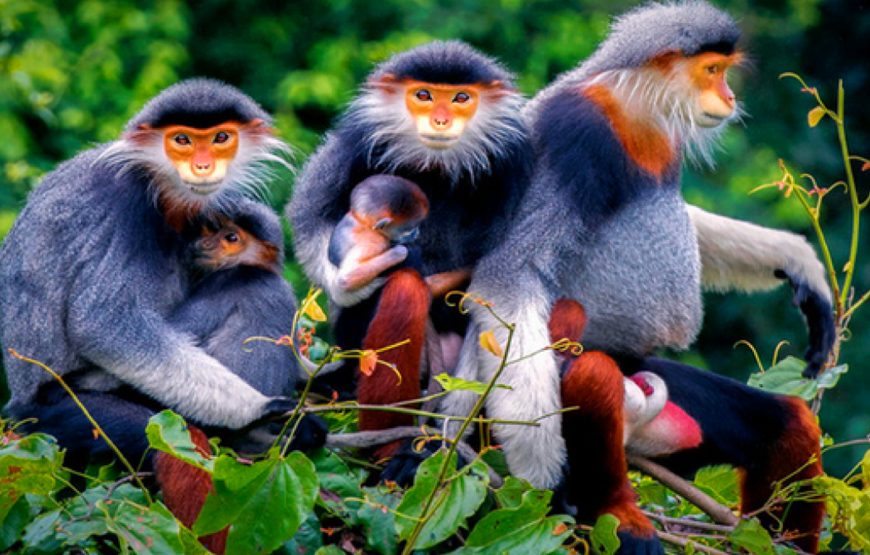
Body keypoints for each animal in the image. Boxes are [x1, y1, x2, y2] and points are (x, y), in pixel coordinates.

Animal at [0, 78, 325, 476]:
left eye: (221, 138)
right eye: (181, 140)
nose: (202, 166)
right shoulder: (124, 202)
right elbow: (102, 325)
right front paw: (260, 410)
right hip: (65, 413)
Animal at [288, 40, 531, 480]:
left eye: (461, 98)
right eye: (423, 95)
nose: (440, 120)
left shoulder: (513, 166)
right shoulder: (356, 141)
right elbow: (309, 219)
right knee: (402, 289)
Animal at [442, 4, 828, 552]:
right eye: (713, 71)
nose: (730, 96)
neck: (631, 111)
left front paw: (797, 260)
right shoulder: (574, 137)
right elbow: (510, 277)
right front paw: (541, 475)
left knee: (787, 423)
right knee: (592, 373)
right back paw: (619, 516)